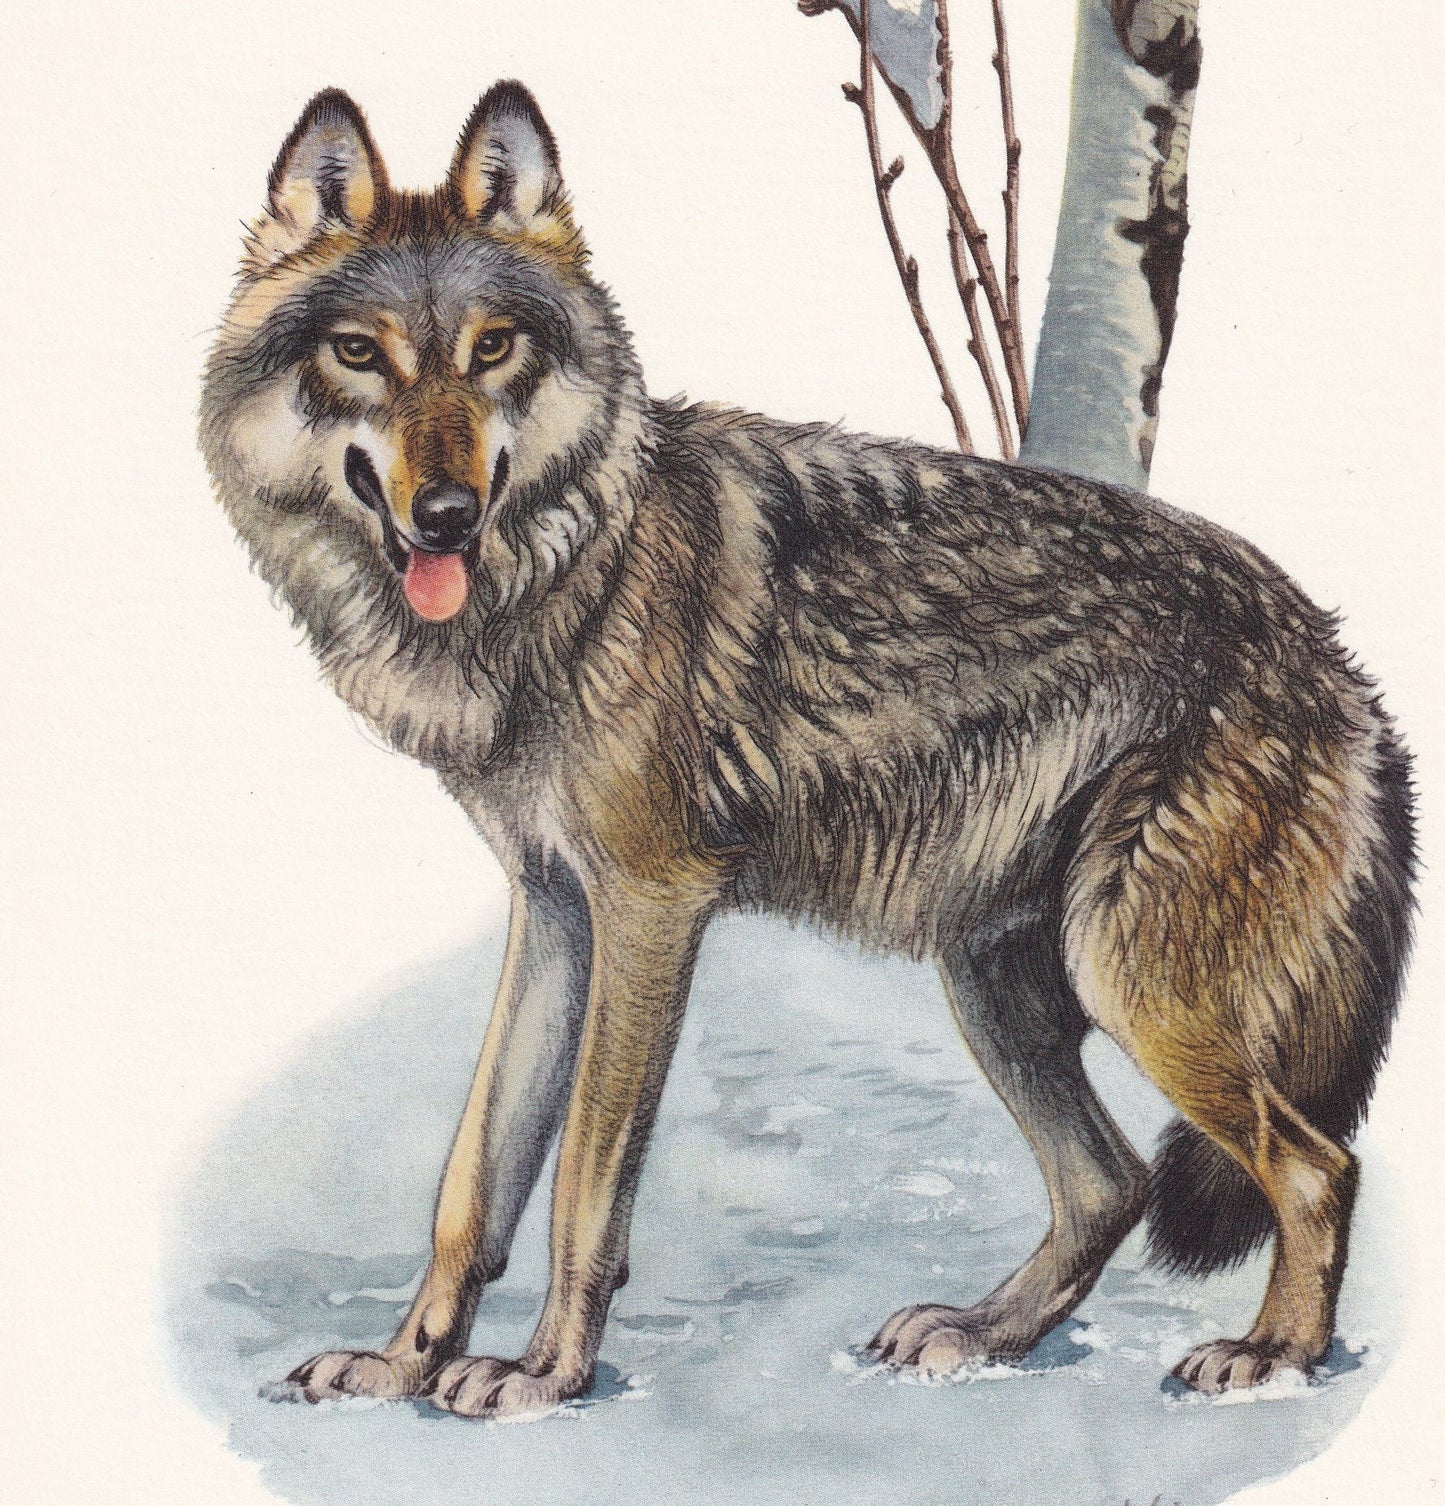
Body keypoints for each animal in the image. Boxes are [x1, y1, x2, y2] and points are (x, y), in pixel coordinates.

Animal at [199, 83, 1415, 1419]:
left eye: (492, 350)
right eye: (359, 354)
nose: (448, 517)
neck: (571, 570)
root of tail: (1331, 655)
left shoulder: (649, 906)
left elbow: (582, 1181)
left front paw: (544, 1374)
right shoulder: (554, 910)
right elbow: (474, 1180)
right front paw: (401, 1364)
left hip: (1127, 981)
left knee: (1312, 1167)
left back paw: (1269, 1357)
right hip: (995, 979)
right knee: (1111, 1185)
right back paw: (980, 1335)